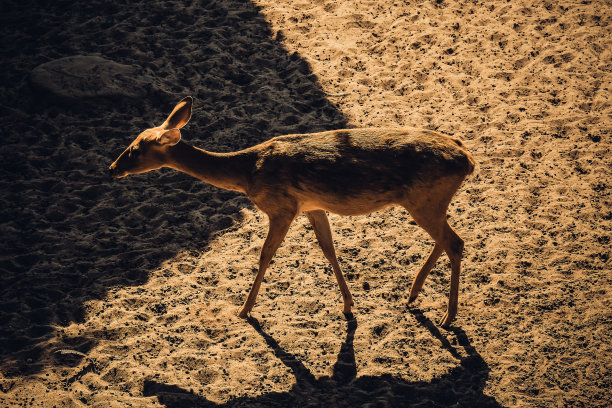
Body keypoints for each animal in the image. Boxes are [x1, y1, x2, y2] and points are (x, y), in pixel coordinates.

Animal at [109, 97, 474, 326]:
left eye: (136, 148)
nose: (112, 168)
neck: (248, 173)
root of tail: (467, 159)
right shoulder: (312, 206)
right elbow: (329, 250)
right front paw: (348, 305)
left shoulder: (280, 207)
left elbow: (265, 255)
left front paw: (244, 311)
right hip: (428, 203)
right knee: (446, 240)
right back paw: (412, 295)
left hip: (425, 200)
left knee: (455, 242)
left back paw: (448, 316)